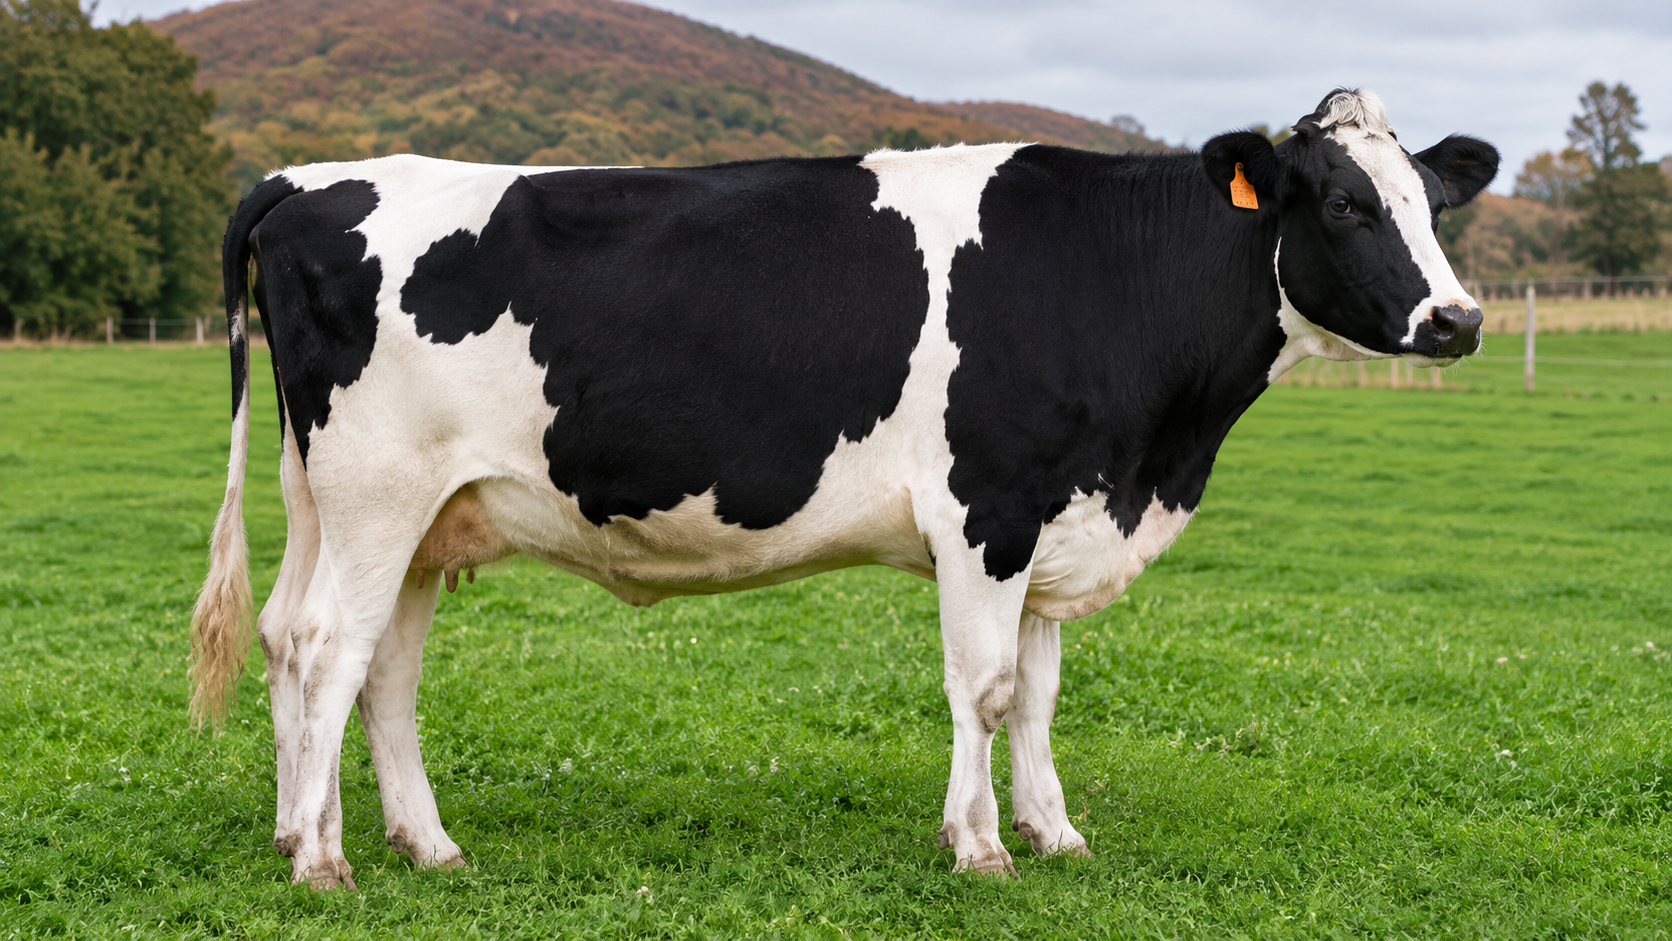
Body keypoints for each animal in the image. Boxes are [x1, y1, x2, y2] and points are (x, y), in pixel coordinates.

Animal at [192, 89, 1497, 889]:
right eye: (1346, 203)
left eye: (1433, 205)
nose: (1457, 318)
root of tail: (308, 177)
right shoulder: (986, 509)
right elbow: (984, 686)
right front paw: (979, 845)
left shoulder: (1057, 517)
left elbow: (1039, 691)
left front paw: (1055, 831)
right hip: (376, 495)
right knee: (328, 645)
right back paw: (322, 859)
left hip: (390, 510)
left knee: (344, 658)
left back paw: (395, 839)